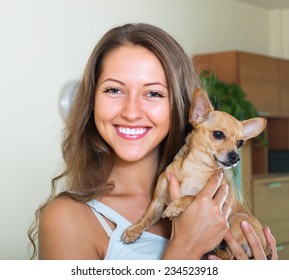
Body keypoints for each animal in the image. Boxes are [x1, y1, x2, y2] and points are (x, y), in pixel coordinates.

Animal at [120, 88, 272, 260]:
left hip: (236, 220)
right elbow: (146, 217)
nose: (236, 157)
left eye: (240, 143)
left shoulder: (209, 199)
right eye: (218, 134)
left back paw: (215, 251)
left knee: (230, 254)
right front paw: (134, 230)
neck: (194, 167)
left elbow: (191, 196)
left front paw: (176, 206)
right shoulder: (158, 202)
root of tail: (265, 246)